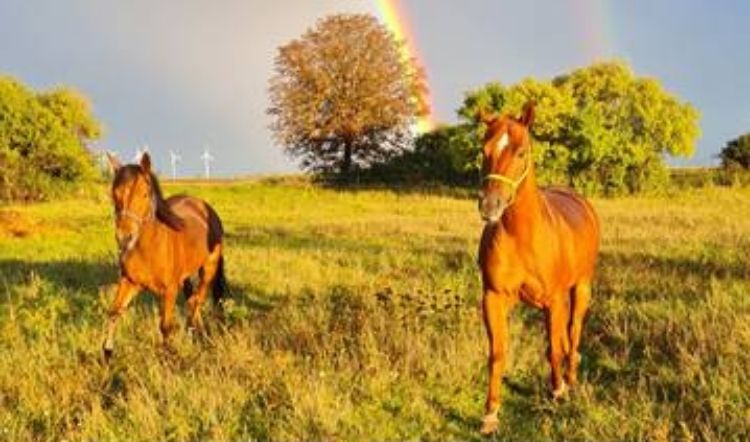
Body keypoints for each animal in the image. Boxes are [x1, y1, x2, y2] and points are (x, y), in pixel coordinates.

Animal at [101, 152, 228, 360]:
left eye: (145, 194)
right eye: (114, 194)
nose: (124, 237)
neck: (149, 248)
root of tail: (205, 207)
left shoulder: (169, 290)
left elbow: (165, 326)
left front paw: (170, 357)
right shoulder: (129, 282)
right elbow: (114, 312)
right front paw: (107, 352)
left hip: (208, 268)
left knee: (197, 301)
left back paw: (197, 336)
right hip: (185, 277)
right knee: (192, 300)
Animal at [478, 102, 604, 434]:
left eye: (521, 152)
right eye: (484, 150)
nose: (489, 206)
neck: (521, 236)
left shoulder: (554, 300)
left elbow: (553, 349)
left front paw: (558, 390)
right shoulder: (493, 298)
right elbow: (497, 354)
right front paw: (490, 414)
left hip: (581, 288)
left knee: (573, 332)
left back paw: (570, 379)